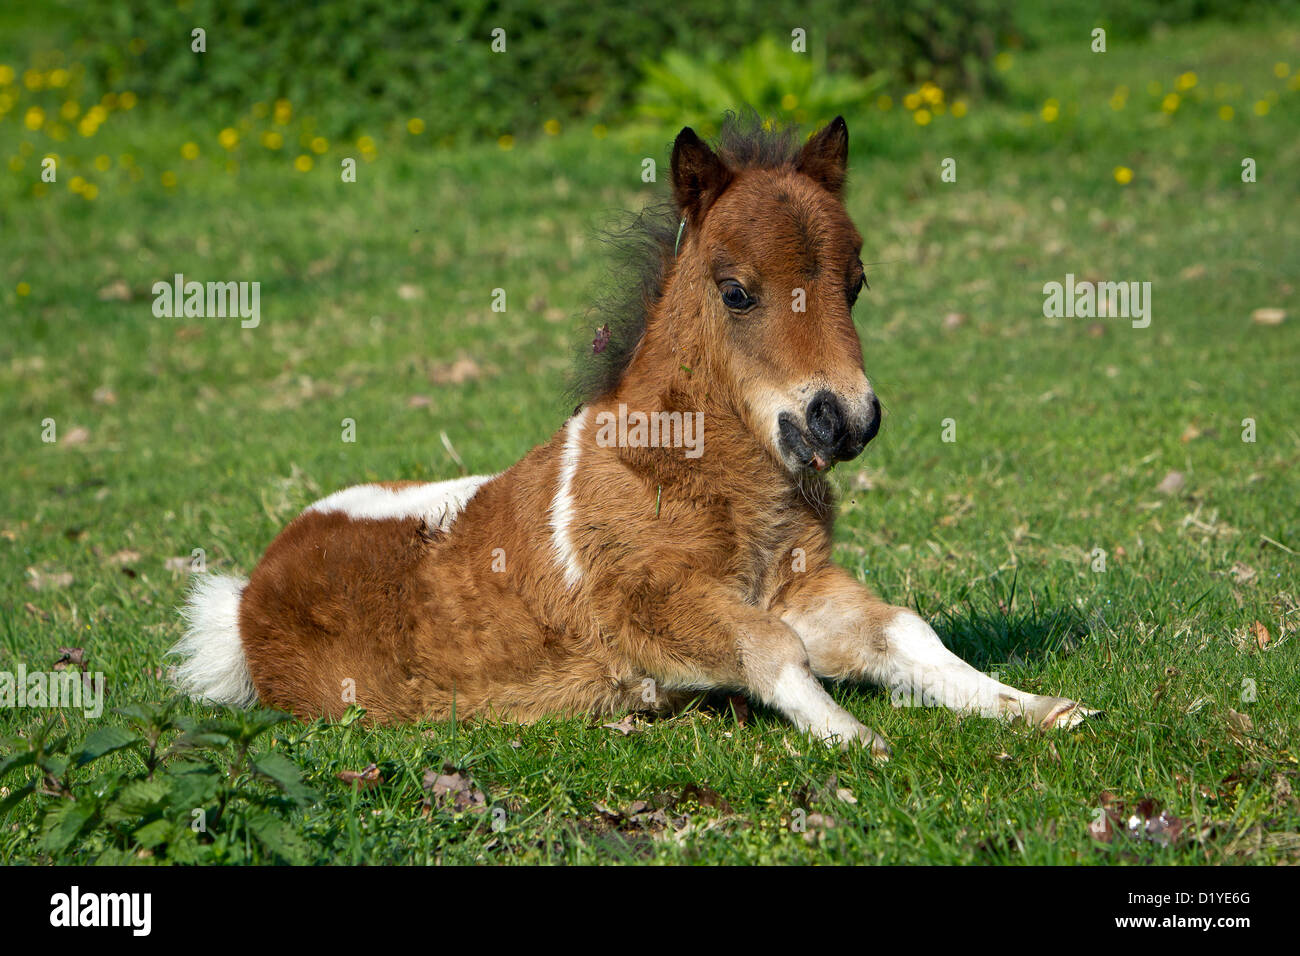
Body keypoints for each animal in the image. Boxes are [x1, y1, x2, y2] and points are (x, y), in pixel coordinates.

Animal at [170, 113, 1086, 754]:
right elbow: (773, 650)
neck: (689, 475)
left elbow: (902, 630)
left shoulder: (800, 585)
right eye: (736, 291)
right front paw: (856, 738)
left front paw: (1042, 708)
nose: (845, 418)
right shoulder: (654, 609)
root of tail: (247, 595)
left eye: (856, 283)